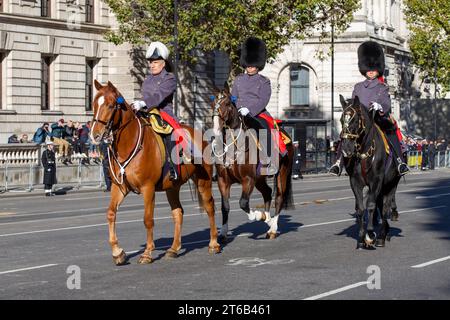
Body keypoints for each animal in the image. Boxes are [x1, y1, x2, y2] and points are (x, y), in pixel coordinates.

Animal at [89, 80, 220, 264]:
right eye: (94, 104)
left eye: (110, 105)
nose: (95, 135)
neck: (129, 144)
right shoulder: (119, 187)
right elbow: (110, 213)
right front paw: (117, 252)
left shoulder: (148, 188)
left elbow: (148, 219)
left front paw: (147, 253)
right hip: (172, 186)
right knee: (178, 213)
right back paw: (173, 249)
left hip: (203, 181)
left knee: (210, 207)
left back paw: (214, 243)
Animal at [211, 85, 296, 240]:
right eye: (213, 104)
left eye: (227, 104)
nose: (216, 128)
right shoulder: (223, 180)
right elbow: (225, 207)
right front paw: (223, 232)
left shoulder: (248, 179)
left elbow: (243, 203)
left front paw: (259, 216)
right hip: (260, 178)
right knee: (267, 192)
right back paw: (269, 219)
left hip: (282, 172)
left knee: (279, 197)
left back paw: (272, 228)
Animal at [338, 95, 400, 250]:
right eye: (341, 120)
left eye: (355, 120)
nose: (346, 150)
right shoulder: (355, 182)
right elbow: (360, 208)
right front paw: (361, 238)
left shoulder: (376, 181)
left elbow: (371, 206)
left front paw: (370, 235)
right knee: (381, 206)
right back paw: (385, 232)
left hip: (391, 184)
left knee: (385, 208)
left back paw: (382, 236)